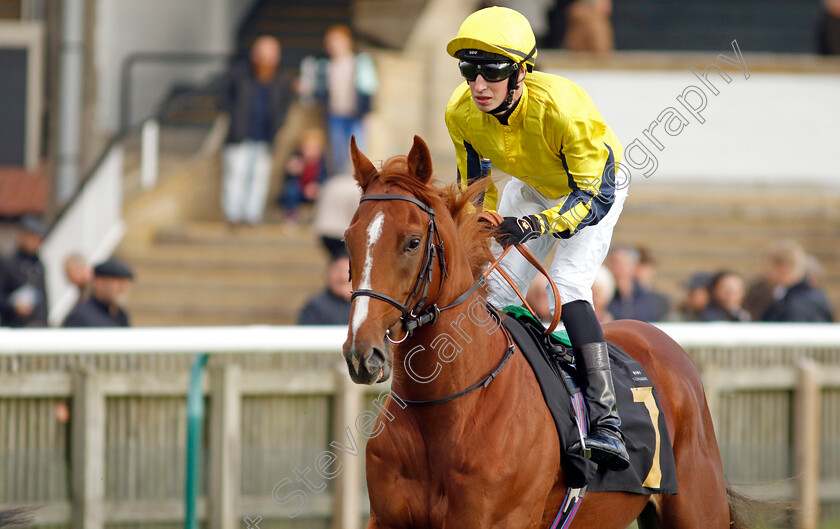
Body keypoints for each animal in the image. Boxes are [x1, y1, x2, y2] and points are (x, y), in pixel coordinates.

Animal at [342, 137, 740, 528]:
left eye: (412, 242)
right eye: (348, 239)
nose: (363, 353)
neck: (446, 410)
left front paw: (519, 226)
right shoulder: (384, 519)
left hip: (698, 508)